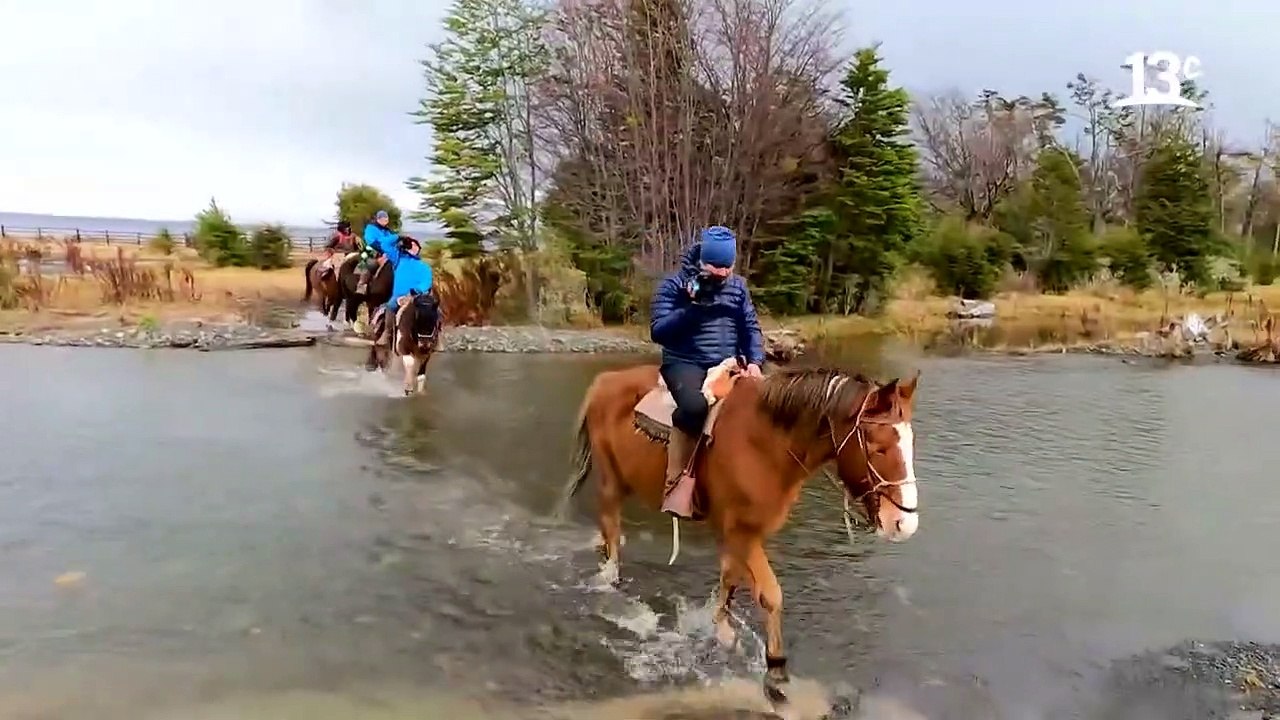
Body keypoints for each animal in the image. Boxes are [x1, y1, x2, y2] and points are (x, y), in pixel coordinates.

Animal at [561, 365, 920, 709]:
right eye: (877, 446)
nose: (904, 522)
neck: (767, 446)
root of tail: (606, 380)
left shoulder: (741, 533)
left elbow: (730, 577)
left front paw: (721, 628)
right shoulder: (744, 533)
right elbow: (771, 595)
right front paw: (776, 672)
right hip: (611, 481)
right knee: (611, 530)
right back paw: (608, 581)